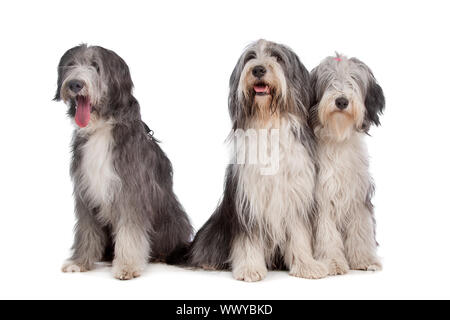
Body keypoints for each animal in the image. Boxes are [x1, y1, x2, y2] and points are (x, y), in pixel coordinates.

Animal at [53, 44, 192, 280]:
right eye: (71, 65)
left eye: (96, 66)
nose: (75, 84)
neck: (101, 127)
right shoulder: (85, 191)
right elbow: (86, 230)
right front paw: (80, 262)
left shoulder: (131, 191)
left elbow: (130, 231)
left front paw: (127, 266)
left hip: (171, 219)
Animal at [186, 39, 326, 280]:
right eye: (250, 58)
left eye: (277, 57)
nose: (258, 69)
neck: (268, 121)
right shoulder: (248, 198)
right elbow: (247, 239)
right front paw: (250, 268)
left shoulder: (295, 195)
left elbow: (299, 234)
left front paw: (306, 265)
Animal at [312, 54, 384, 276]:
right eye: (329, 80)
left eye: (354, 79)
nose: (342, 101)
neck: (338, 139)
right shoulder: (322, 198)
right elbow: (326, 233)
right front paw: (333, 262)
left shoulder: (358, 196)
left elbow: (361, 228)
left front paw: (364, 259)